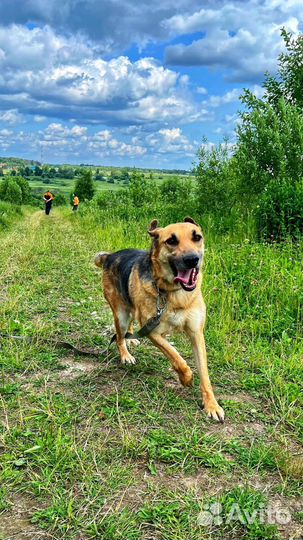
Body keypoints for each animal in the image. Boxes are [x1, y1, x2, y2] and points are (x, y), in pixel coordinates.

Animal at [95, 215, 226, 422]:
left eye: (197, 237)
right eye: (171, 240)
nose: (192, 260)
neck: (174, 292)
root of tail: (110, 256)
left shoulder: (196, 333)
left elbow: (204, 374)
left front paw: (211, 405)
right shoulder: (153, 331)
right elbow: (176, 357)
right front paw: (186, 377)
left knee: (127, 328)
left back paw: (131, 339)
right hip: (121, 314)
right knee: (119, 336)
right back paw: (125, 355)